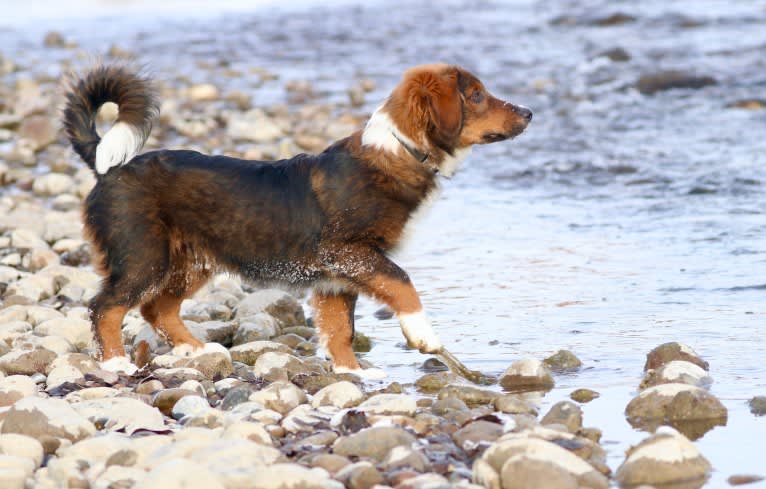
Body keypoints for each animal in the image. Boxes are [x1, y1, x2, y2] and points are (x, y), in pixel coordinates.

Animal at [63, 63, 536, 378]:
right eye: (476, 95)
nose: (529, 113)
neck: (401, 151)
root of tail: (108, 167)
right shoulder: (348, 253)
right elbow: (403, 283)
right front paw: (423, 335)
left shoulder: (338, 278)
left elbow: (340, 330)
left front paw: (352, 374)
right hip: (143, 255)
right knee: (106, 307)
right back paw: (117, 362)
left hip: (190, 261)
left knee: (156, 307)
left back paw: (197, 351)